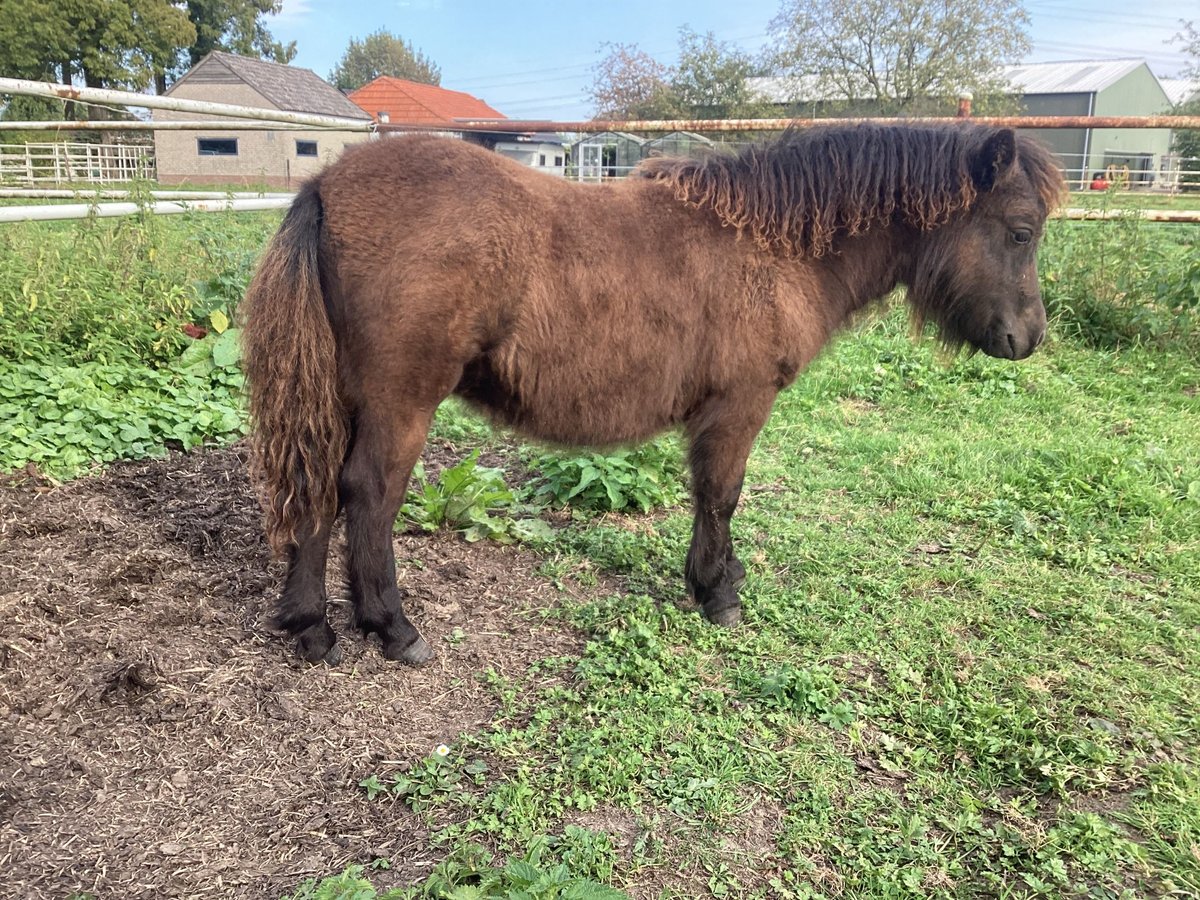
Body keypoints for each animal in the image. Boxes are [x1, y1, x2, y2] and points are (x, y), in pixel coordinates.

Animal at [241, 123, 1060, 667]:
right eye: (1021, 231)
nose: (1027, 338)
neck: (776, 249)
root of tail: (326, 186)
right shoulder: (739, 405)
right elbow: (721, 496)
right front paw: (717, 593)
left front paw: (722, 577)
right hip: (401, 400)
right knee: (369, 493)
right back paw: (393, 628)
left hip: (344, 398)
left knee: (318, 486)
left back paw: (312, 627)